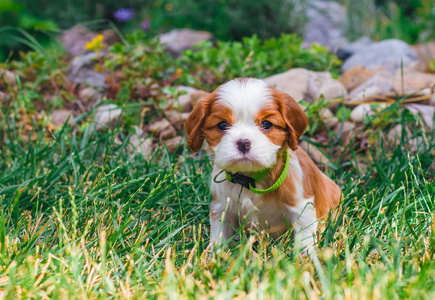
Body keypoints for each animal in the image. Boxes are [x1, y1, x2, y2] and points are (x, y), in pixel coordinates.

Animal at [186, 77, 342, 251]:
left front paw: (307, 257)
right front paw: (215, 255)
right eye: (222, 125)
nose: (243, 143)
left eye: (267, 124)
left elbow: (305, 241)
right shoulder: (221, 208)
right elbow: (219, 238)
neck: (250, 179)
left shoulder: (302, 208)